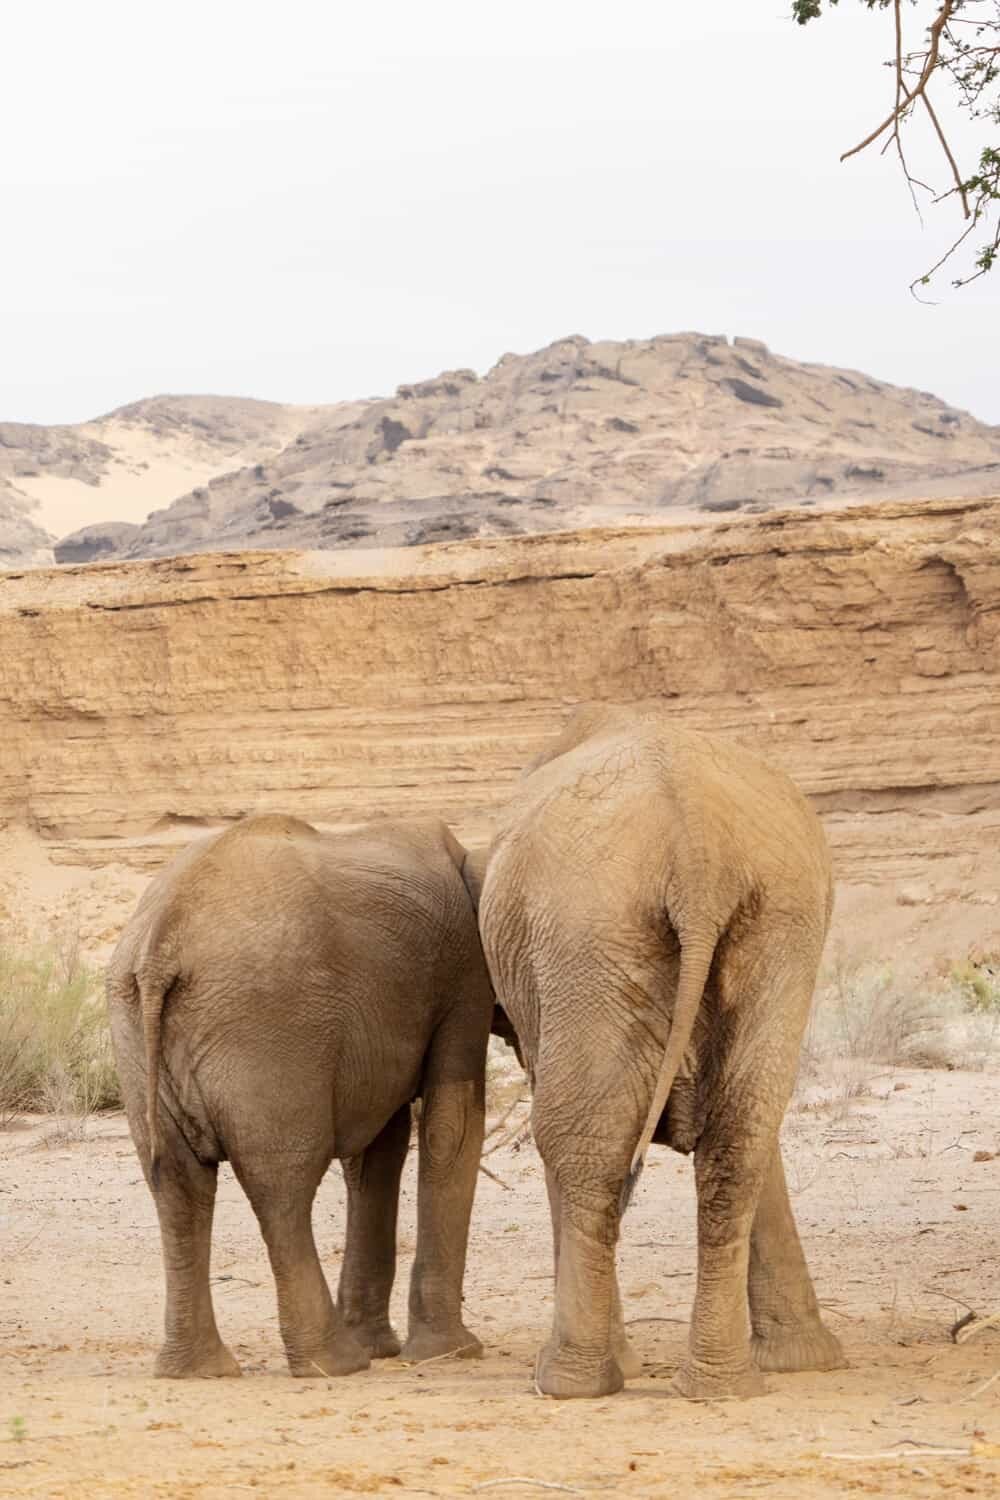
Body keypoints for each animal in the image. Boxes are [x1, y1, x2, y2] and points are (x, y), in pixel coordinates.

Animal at [107, 816, 494, 1374]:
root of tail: (161, 943)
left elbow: (377, 1149)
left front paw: (385, 1348)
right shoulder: (463, 975)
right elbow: (452, 1124)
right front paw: (453, 1353)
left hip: (136, 1024)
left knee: (178, 1185)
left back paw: (201, 1370)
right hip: (269, 1026)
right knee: (281, 1184)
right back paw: (335, 1364)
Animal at [476, 708, 845, 1398]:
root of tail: (698, 850)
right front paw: (803, 1362)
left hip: (587, 928)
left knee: (583, 1144)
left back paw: (570, 1380)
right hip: (778, 924)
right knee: (742, 1135)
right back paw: (722, 1384)